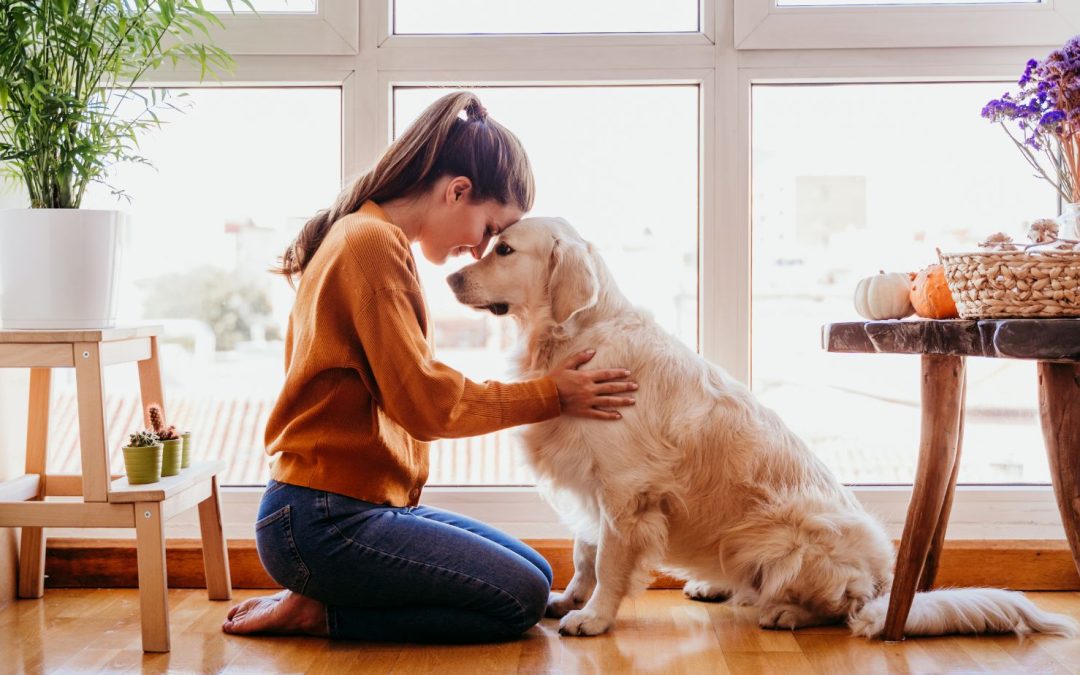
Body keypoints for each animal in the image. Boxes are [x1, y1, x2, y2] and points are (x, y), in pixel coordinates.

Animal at [444, 218, 1071, 639]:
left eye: (504, 249)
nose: (449, 278)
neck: (574, 336)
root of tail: (883, 584)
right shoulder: (589, 482)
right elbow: (584, 551)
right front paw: (568, 598)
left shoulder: (625, 491)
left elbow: (611, 561)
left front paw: (593, 616)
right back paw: (717, 585)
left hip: (789, 535)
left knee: (839, 608)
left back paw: (785, 611)